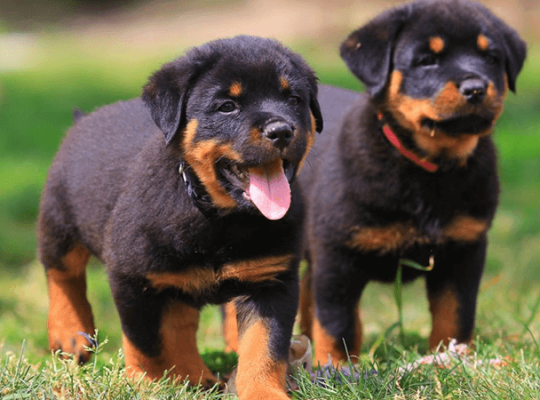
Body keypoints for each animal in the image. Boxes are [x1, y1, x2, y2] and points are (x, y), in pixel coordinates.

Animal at [40, 35, 322, 400]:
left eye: (294, 99)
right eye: (227, 106)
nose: (282, 131)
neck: (222, 219)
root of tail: (83, 119)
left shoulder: (272, 279)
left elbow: (264, 348)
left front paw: (262, 391)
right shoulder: (132, 276)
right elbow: (146, 341)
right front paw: (147, 382)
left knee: (181, 323)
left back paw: (196, 375)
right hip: (58, 219)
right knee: (62, 272)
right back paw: (70, 332)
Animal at [298, 0, 524, 364]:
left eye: (491, 57)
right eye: (426, 60)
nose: (476, 88)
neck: (428, 167)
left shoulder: (465, 250)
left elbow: (455, 313)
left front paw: (451, 358)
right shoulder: (337, 253)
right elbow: (337, 322)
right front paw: (335, 366)